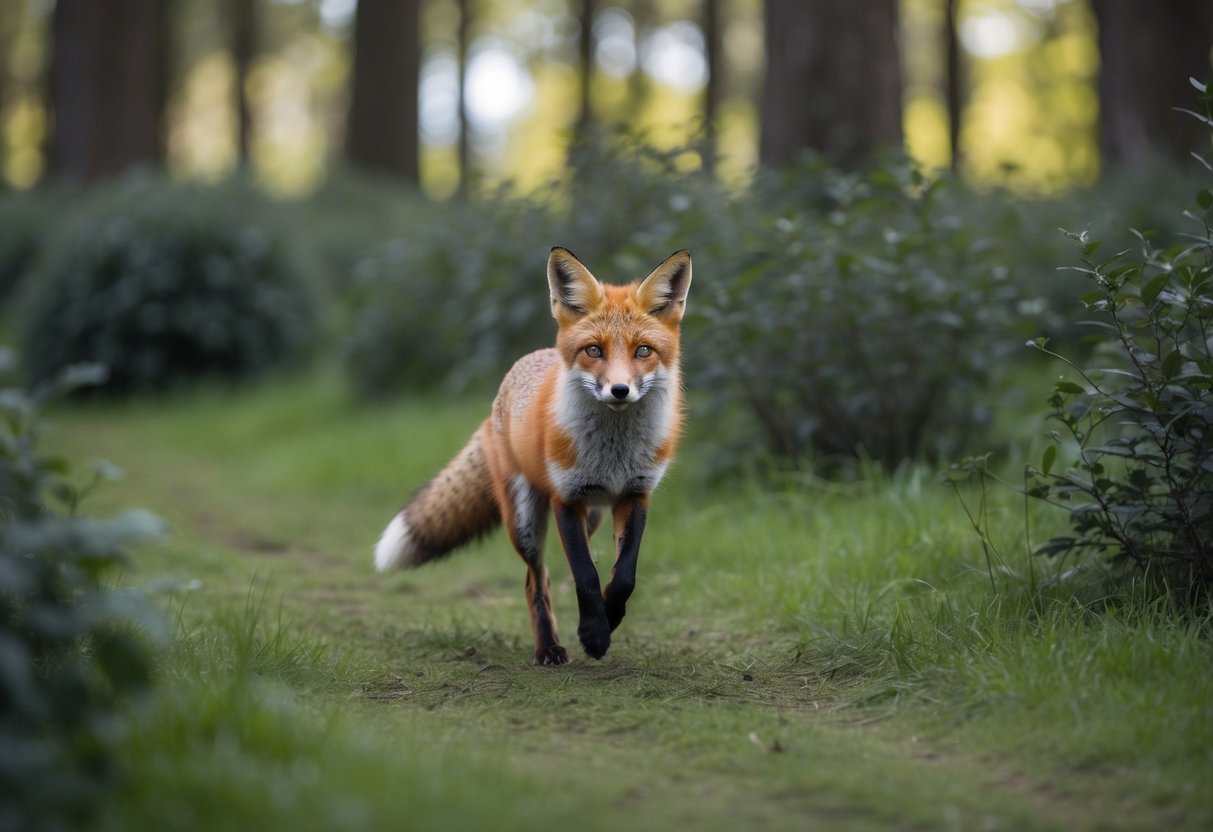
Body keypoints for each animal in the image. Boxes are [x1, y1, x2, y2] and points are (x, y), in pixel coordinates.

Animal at [373, 246, 692, 665]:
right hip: (525, 521)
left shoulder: (635, 494)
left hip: (591, 514)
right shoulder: (565, 498)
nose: (620, 390)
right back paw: (549, 648)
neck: (613, 455)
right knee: (534, 579)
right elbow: (586, 576)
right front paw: (594, 635)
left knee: (562, 570)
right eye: (594, 350)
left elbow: (622, 576)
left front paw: (608, 619)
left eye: (643, 351)